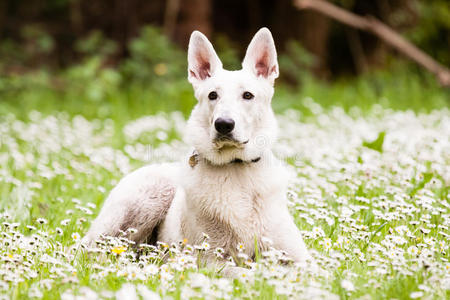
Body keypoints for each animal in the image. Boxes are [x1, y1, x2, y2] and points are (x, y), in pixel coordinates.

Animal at [82, 28, 314, 276]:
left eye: (248, 95)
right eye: (213, 95)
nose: (224, 124)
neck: (235, 167)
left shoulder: (300, 258)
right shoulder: (211, 260)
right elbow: (251, 273)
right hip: (146, 200)